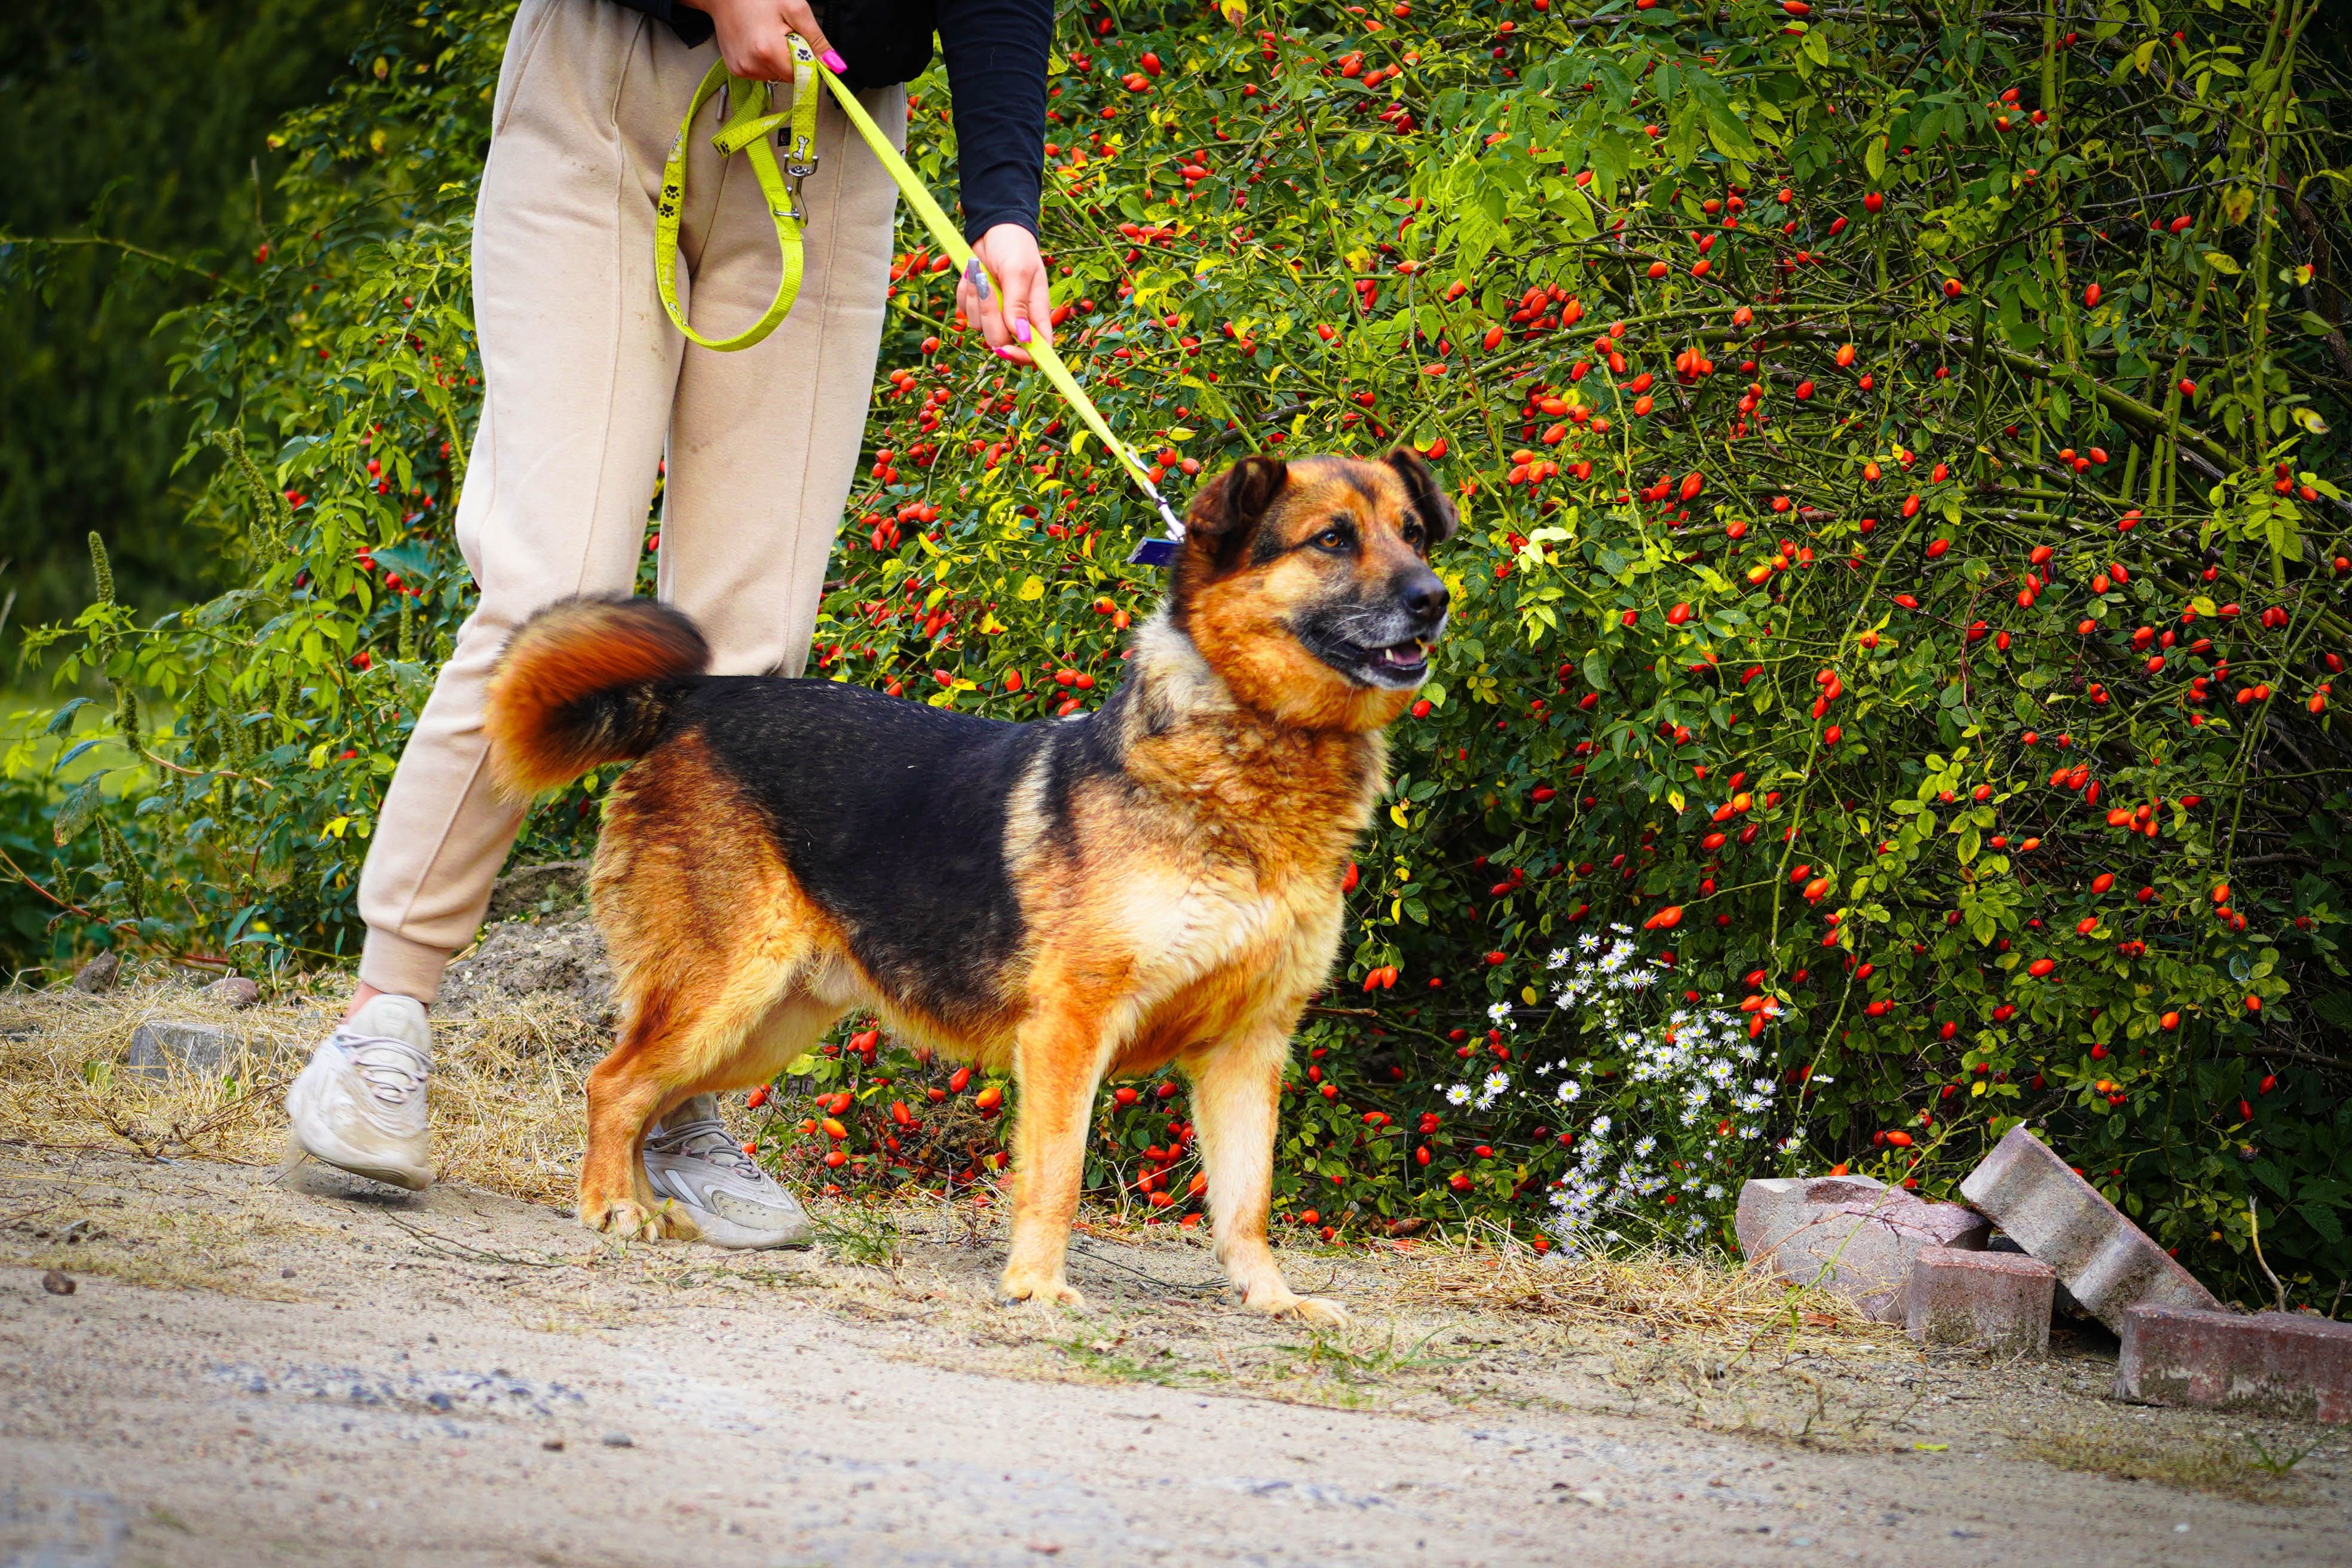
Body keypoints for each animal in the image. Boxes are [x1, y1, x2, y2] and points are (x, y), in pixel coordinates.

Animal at [482, 446, 1448, 1316]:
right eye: (1331, 539)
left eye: (1411, 534)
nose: (1435, 599)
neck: (1254, 756)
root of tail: (693, 701)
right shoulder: (1070, 1032)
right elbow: (1057, 1173)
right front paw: (1038, 1286)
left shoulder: (1250, 1046)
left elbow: (1247, 1200)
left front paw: (1272, 1299)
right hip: (720, 992)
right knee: (614, 1084)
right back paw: (612, 1206)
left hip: (763, 1028)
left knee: (653, 1094)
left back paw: (649, 1204)